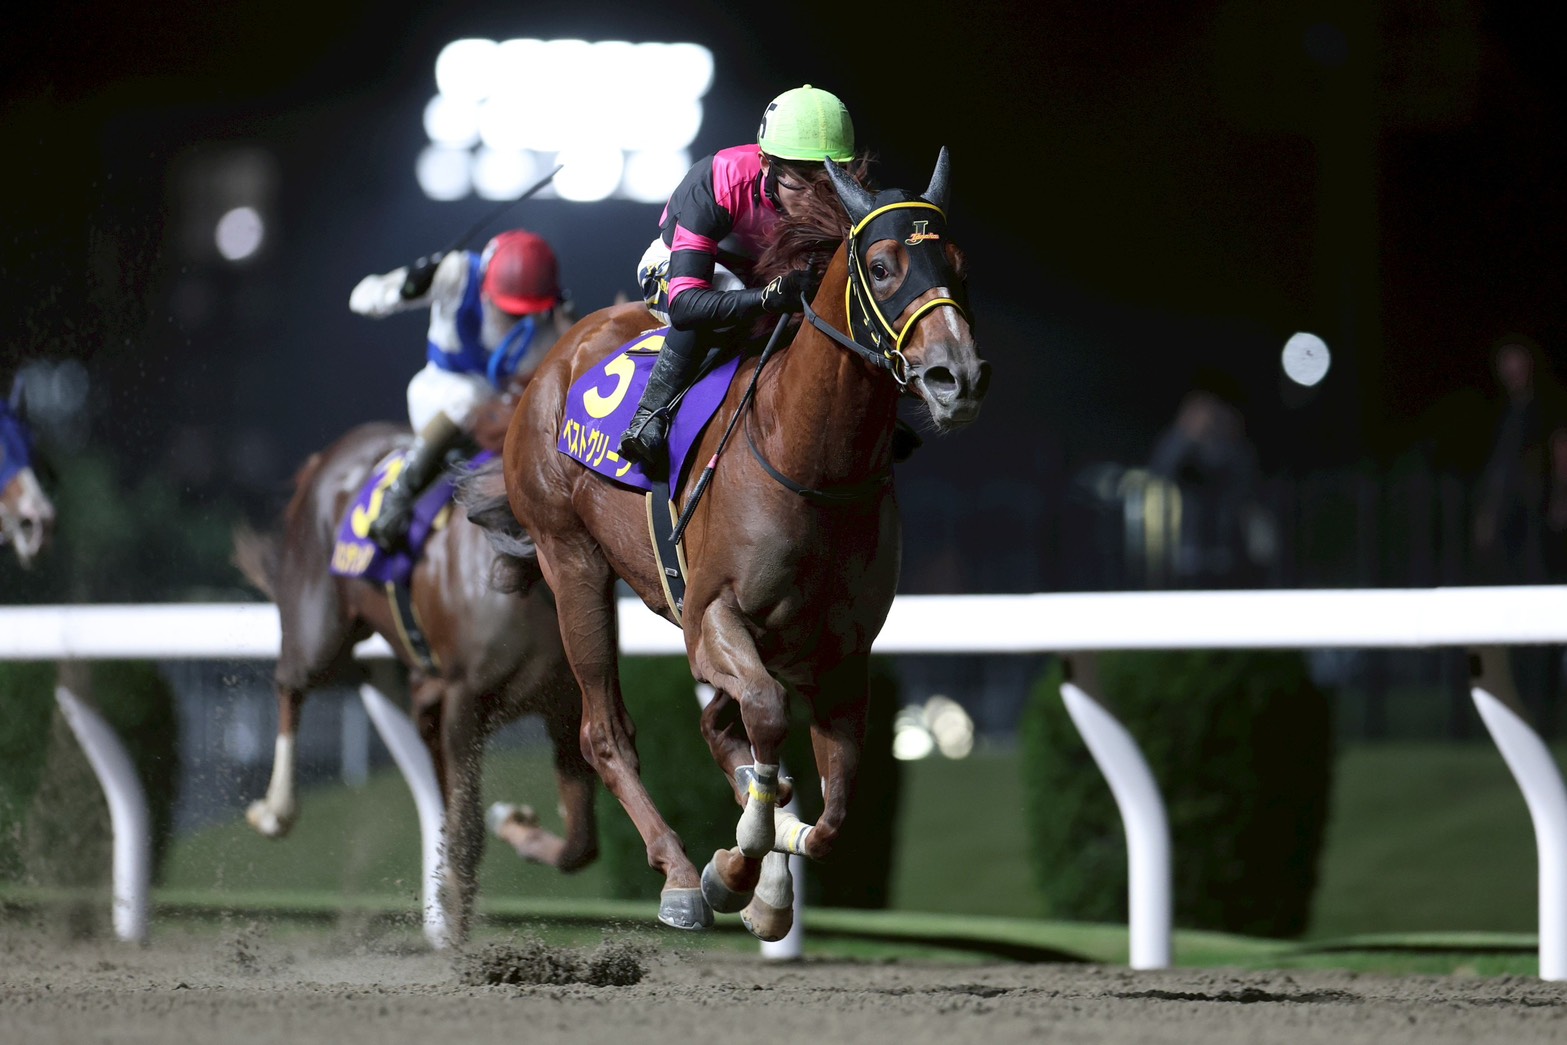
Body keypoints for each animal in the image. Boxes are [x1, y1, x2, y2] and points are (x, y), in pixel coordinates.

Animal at [234, 398, 597, 945]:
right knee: (291, 685)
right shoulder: (465, 702)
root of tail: (330, 455)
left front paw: (516, 826)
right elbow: (466, 834)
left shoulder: (563, 707)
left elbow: (580, 843)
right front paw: (458, 941)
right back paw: (275, 810)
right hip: (321, 632)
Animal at [467, 149, 989, 938]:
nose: (955, 376)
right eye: (881, 264)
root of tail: (554, 360)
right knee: (605, 732)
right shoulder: (712, 616)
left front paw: (768, 882)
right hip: (573, 562)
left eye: (956, 264)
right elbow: (767, 717)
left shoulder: (841, 654)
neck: (808, 459)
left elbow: (831, 809)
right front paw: (731, 872)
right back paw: (682, 875)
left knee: (721, 731)